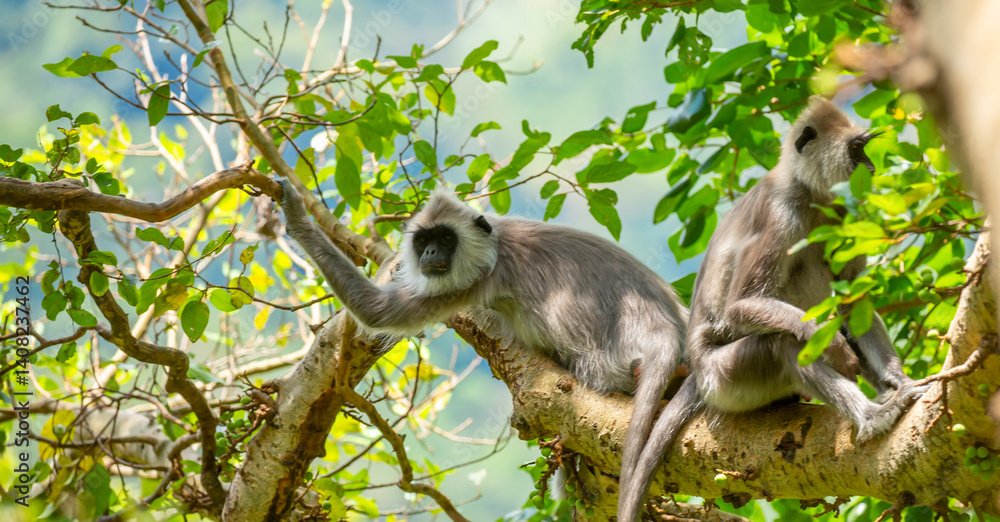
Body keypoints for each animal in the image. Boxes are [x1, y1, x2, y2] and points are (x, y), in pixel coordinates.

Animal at [276, 179, 688, 510]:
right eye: (423, 241)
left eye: (445, 239)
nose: (429, 254)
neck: (497, 242)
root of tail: (665, 329)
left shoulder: (480, 278)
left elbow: (377, 312)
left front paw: (296, 216)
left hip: (608, 363)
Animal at [616, 96, 927, 521]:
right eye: (856, 150)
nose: (870, 168)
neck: (811, 195)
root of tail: (698, 373)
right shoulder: (781, 212)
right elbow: (742, 305)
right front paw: (834, 349)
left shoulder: (844, 215)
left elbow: (853, 302)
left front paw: (900, 381)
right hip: (727, 377)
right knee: (784, 342)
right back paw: (871, 415)